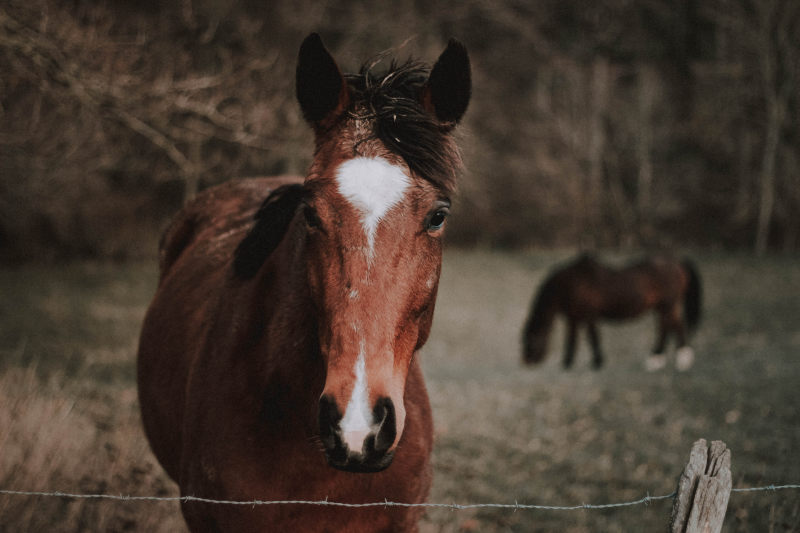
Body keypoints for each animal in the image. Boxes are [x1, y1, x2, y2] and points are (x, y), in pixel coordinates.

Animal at [520, 252, 700, 370]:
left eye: (531, 340)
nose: (526, 362)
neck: (571, 284)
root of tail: (676, 262)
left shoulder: (589, 316)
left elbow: (593, 337)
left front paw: (597, 362)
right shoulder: (574, 318)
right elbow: (571, 340)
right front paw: (567, 363)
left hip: (668, 305)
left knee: (675, 326)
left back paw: (682, 359)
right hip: (661, 307)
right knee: (666, 327)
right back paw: (657, 358)